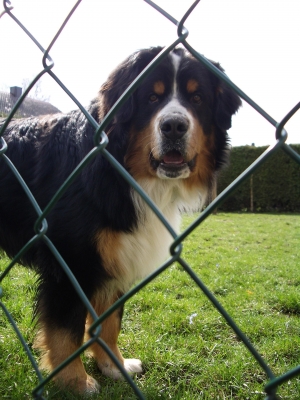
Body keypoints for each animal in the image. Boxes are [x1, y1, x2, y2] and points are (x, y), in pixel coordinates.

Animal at [0, 47, 240, 394]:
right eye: (152, 98)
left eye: (197, 98)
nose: (174, 126)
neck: (122, 173)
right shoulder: (70, 262)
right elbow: (66, 330)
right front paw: (75, 382)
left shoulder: (116, 257)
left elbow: (110, 322)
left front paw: (114, 365)